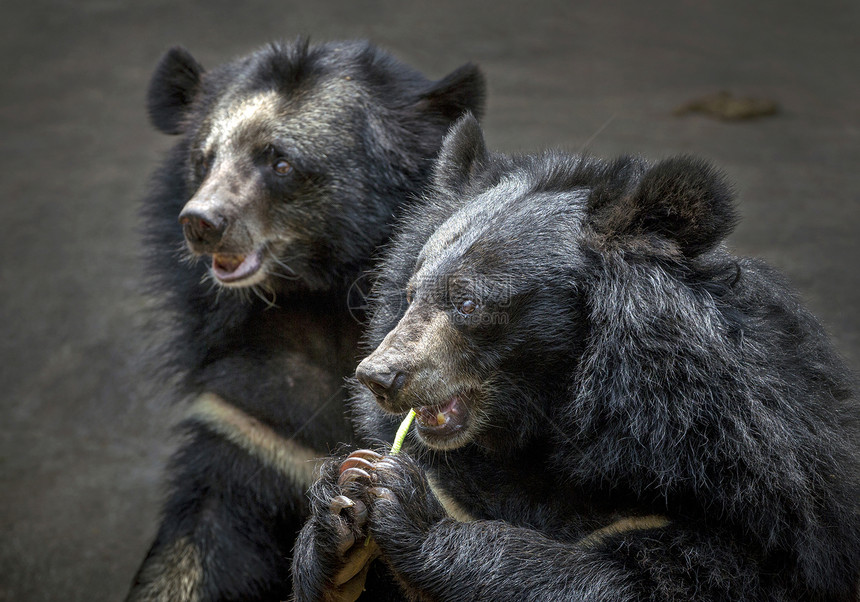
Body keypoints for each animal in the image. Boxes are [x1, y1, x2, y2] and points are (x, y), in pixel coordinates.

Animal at [123, 39, 484, 596]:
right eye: (203, 159)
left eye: (281, 162)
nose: (201, 223)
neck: (319, 300)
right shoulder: (250, 420)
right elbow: (200, 546)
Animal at [294, 113, 860, 600]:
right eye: (411, 293)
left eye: (469, 303)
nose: (378, 376)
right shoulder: (460, 487)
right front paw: (341, 499)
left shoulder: (741, 509)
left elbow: (628, 582)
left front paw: (407, 507)